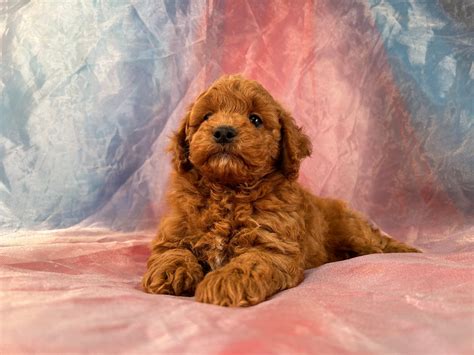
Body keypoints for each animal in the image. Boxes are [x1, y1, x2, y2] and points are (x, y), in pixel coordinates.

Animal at [143, 76, 420, 308]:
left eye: (255, 119)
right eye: (206, 116)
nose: (223, 131)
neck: (228, 190)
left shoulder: (273, 246)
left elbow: (249, 263)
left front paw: (224, 282)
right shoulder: (175, 231)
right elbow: (173, 252)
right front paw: (170, 272)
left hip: (354, 233)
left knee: (378, 243)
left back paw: (409, 252)